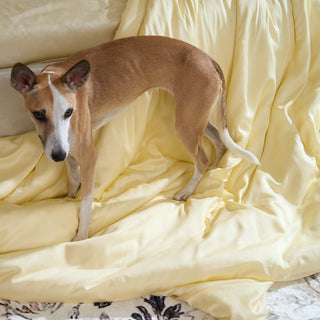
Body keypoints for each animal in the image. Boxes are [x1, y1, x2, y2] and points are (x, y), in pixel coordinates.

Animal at [10, 35, 260, 240]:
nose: (57, 155)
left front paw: (81, 236)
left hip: (186, 124)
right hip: (195, 118)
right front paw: (68, 200)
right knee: (218, 141)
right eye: (38, 114)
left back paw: (188, 190)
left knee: (202, 158)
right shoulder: (70, 151)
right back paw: (214, 172)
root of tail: (209, 59)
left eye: (69, 112)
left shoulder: (89, 157)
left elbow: (86, 203)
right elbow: (73, 181)